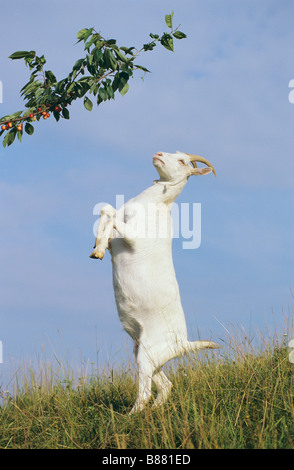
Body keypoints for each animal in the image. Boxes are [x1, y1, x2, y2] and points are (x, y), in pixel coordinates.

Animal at [91, 151, 218, 412]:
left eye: (182, 162)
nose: (158, 154)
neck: (155, 204)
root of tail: (182, 343)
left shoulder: (134, 237)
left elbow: (109, 210)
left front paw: (97, 250)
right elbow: (106, 213)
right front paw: (97, 248)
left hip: (148, 354)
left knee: (145, 394)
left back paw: (131, 417)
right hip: (145, 355)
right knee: (165, 385)